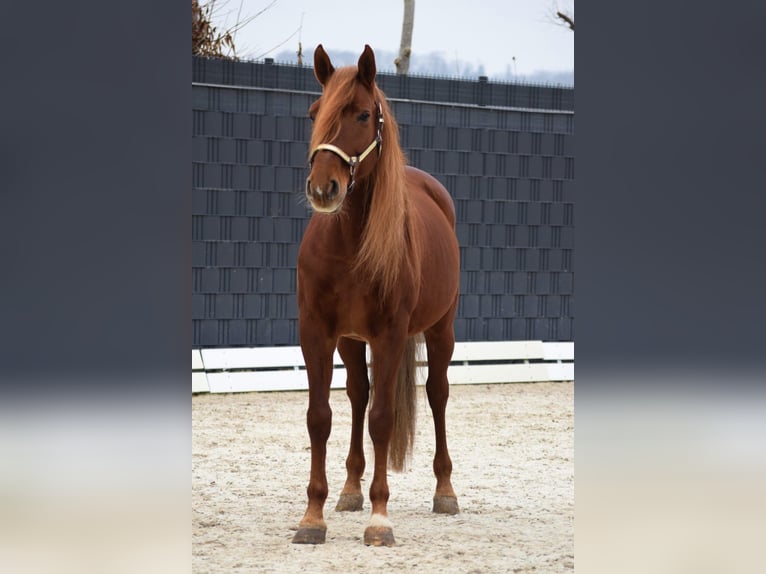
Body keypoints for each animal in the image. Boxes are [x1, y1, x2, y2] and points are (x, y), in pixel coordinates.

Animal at [292, 44, 461, 547]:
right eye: (315, 113)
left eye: (364, 115)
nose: (323, 188)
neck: (348, 244)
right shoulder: (317, 332)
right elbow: (320, 416)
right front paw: (313, 516)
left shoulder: (389, 335)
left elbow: (383, 419)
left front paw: (380, 518)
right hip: (351, 341)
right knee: (357, 394)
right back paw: (350, 489)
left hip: (441, 330)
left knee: (437, 393)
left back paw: (445, 492)